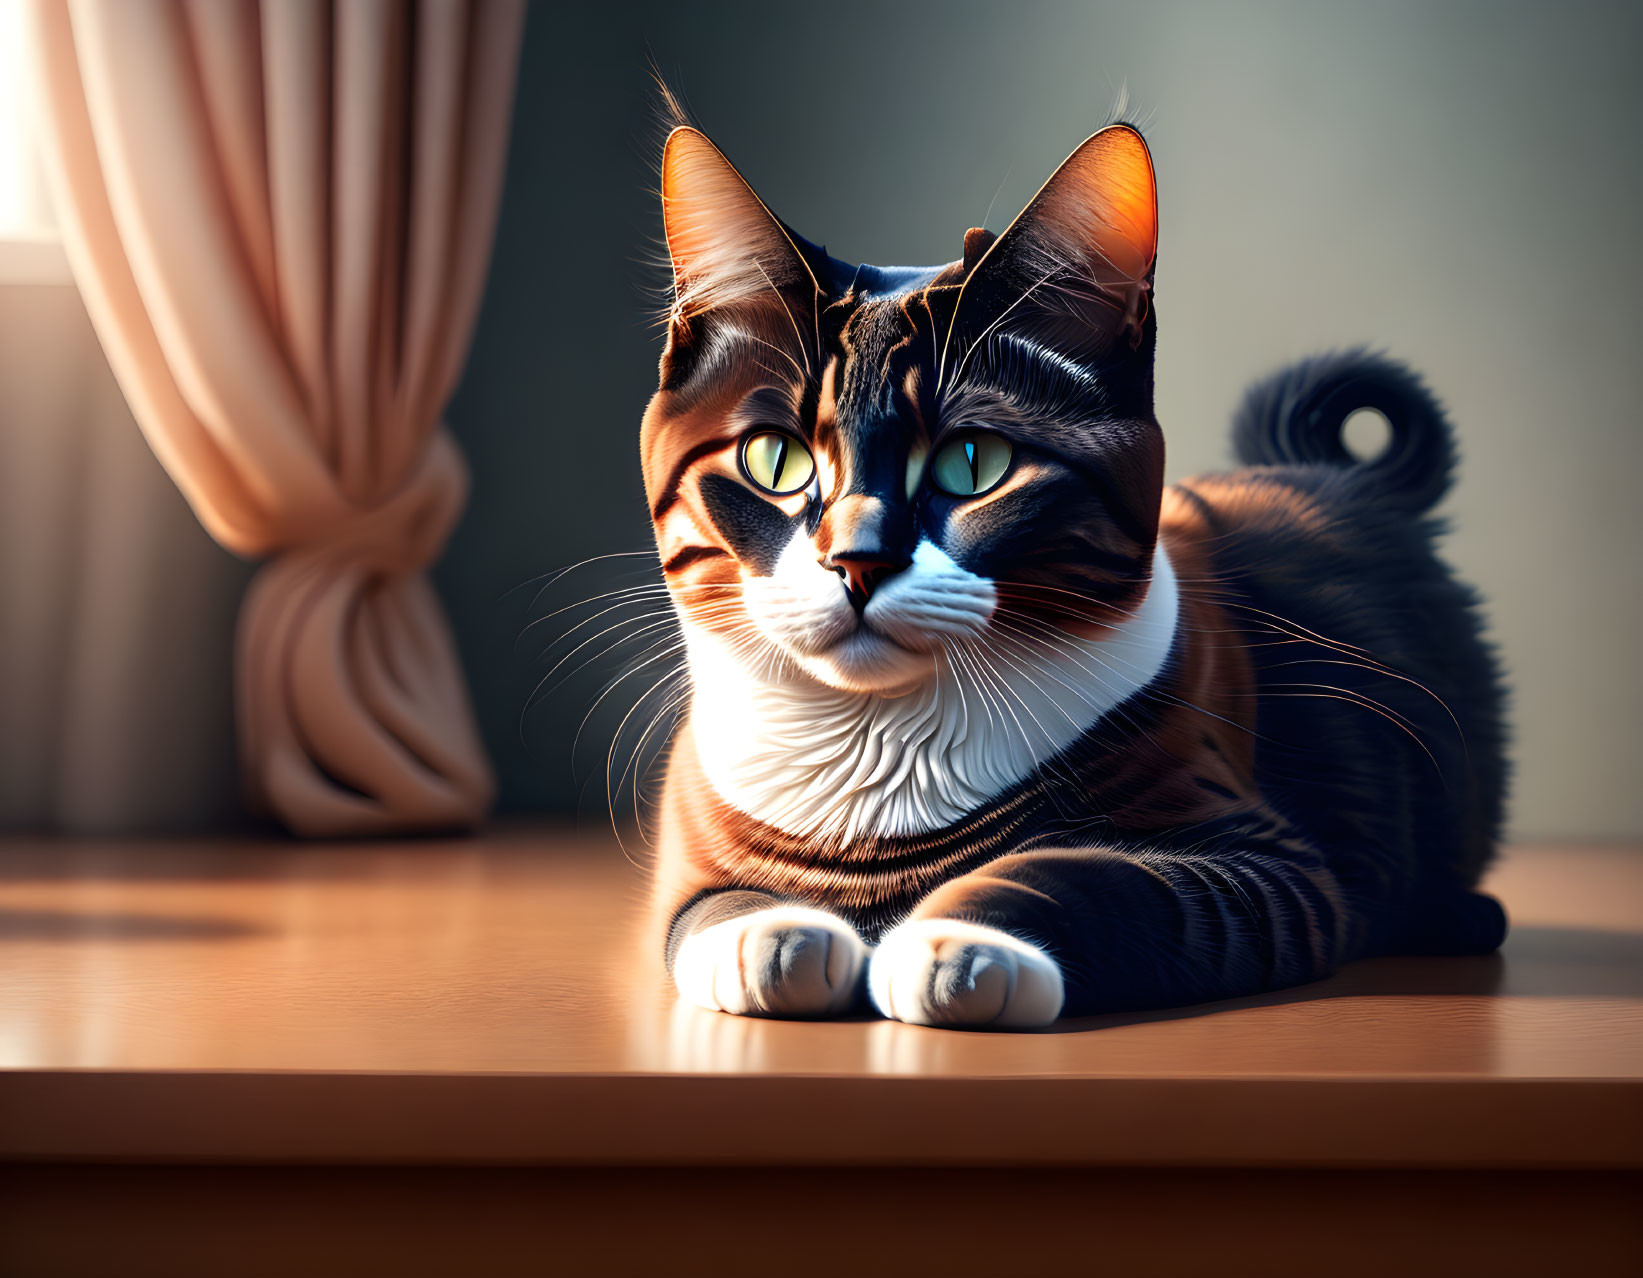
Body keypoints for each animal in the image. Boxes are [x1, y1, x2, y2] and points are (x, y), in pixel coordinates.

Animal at [634, 116, 1504, 1025]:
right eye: (775, 459)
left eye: (972, 463)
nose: (857, 557)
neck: (876, 766)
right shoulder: (686, 870)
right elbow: (709, 911)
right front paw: (775, 936)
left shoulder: (1266, 860)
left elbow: (1083, 876)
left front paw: (955, 946)